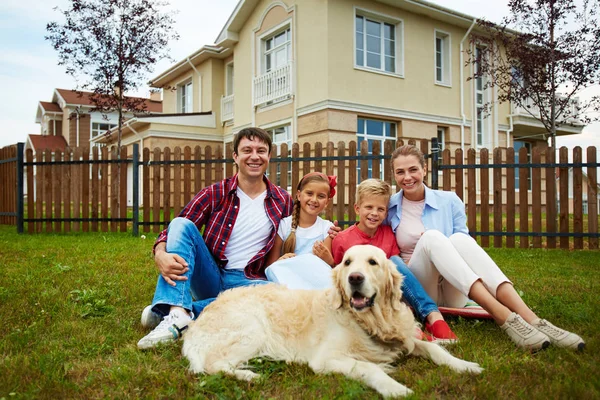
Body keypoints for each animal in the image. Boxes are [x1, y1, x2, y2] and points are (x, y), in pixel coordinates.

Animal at [183, 244, 482, 396]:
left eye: (372, 262)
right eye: (347, 262)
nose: (354, 278)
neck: (368, 320)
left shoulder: (404, 337)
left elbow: (433, 348)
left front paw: (465, 365)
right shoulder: (326, 358)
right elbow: (370, 368)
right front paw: (394, 388)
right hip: (252, 328)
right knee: (212, 365)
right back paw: (248, 375)